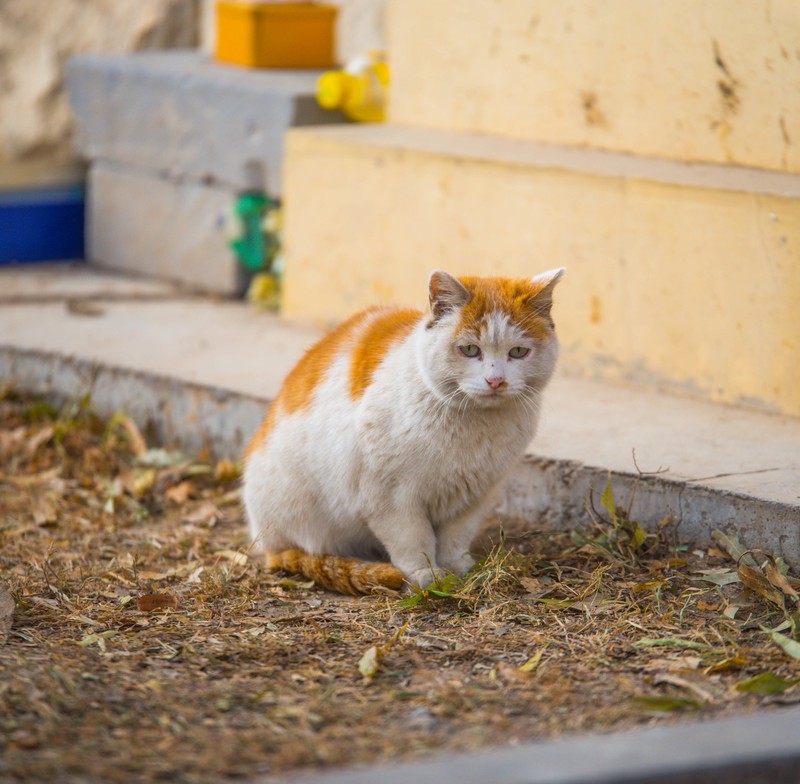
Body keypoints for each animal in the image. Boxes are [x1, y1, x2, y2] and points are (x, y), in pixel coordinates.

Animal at [244, 270, 564, 596]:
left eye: (518, 352)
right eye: (470, 349)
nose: (496, 381)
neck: (475, 426)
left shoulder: (475, 494)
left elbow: (456, 535)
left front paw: (457, 567)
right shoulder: (389, 497)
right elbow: (412, 539)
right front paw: (426, 574)